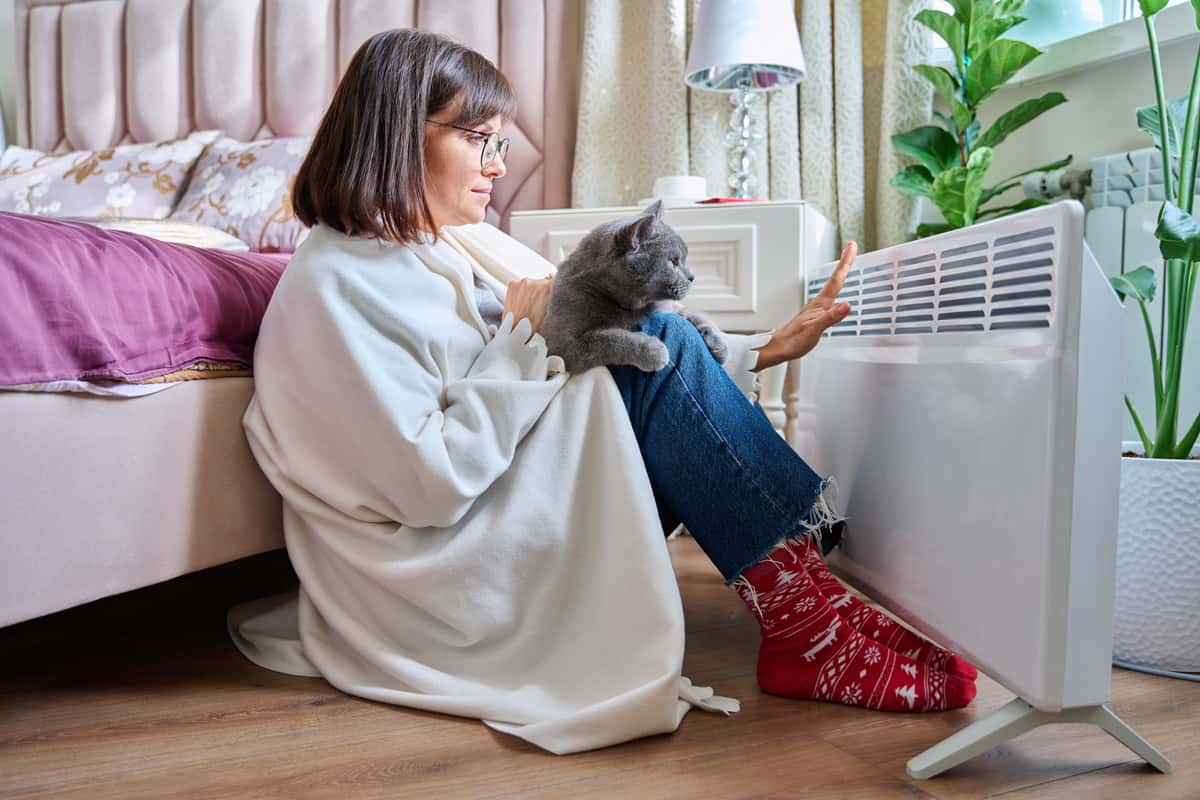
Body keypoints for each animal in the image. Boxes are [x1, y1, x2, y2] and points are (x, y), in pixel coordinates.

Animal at [540, 200, 724, 376]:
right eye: (673, 261)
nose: (693, 276)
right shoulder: (560, 344)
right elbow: (607, 340)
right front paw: (652, 350)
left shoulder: (665, 306)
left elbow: (691, 312)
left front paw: (718, 343)